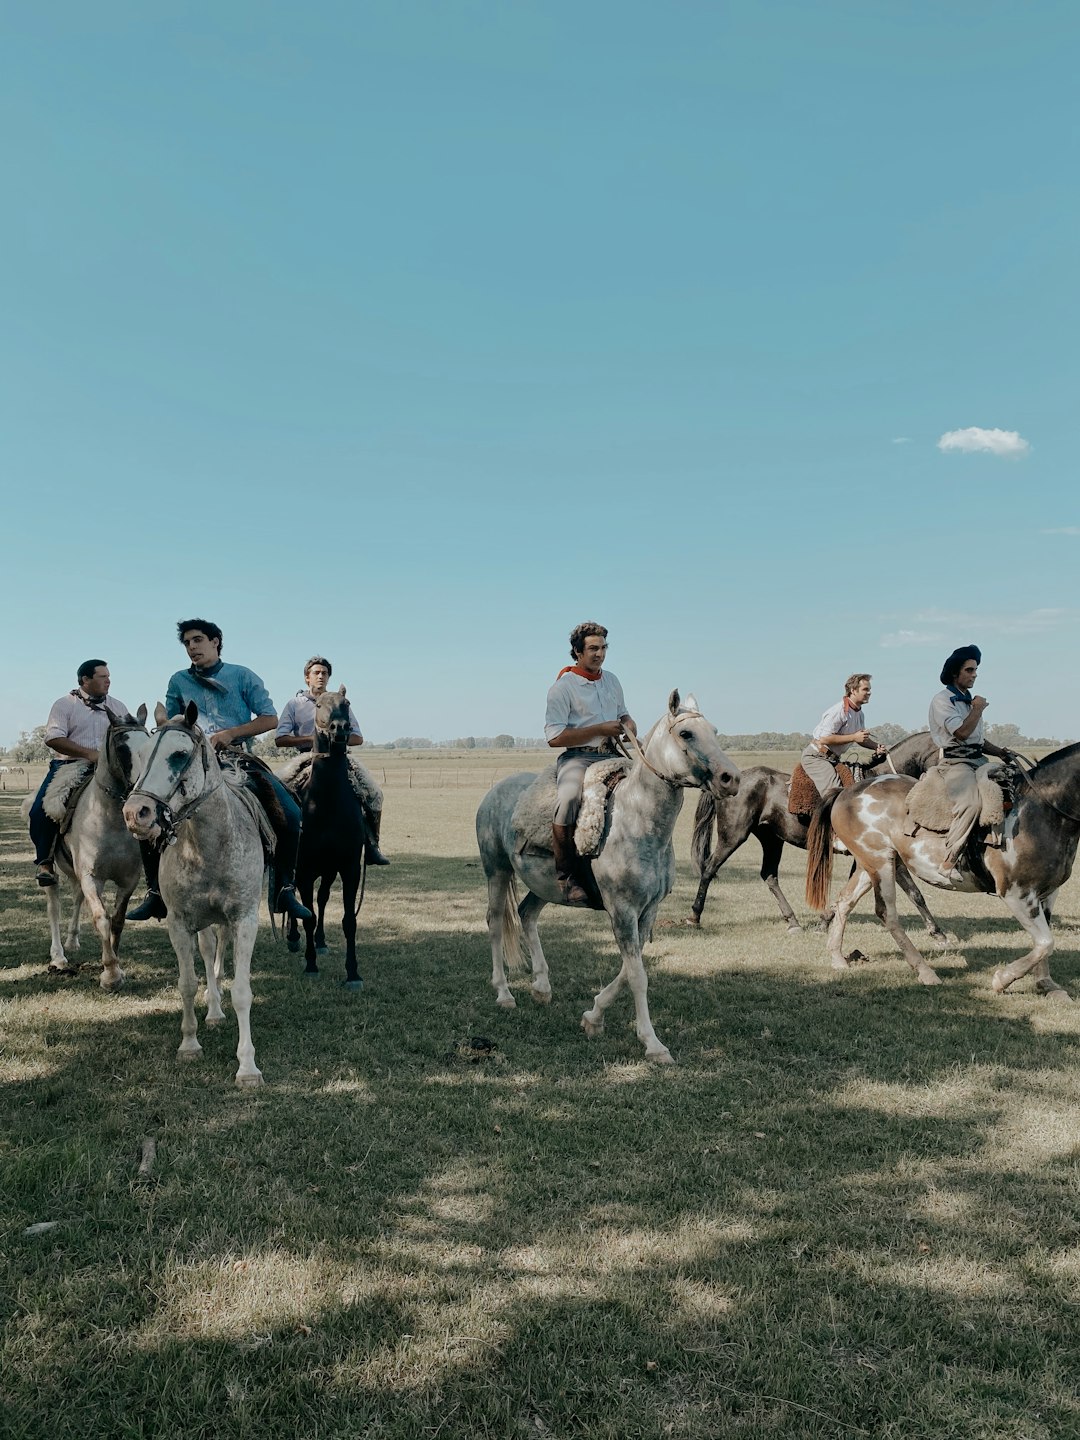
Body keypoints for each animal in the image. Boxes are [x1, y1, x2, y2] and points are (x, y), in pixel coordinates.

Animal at [29, 711, 152, 990]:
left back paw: (73, 940)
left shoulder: (128, 880)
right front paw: (110, 974)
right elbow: (102, 919)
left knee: (76, 898)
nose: (141, 800)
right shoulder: (91, 876)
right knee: (54, 904)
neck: (110, 820)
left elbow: (117, 920)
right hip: (54, 871)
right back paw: (59, 956)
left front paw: (116, 966)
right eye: (121, 747)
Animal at [124, 702, 269, 1082]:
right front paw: (189, 1044)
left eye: (179, 754)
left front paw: (247, 1066)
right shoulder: (179, 923)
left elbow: (242, 991)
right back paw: (214, 1010)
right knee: (206, 952)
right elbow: (187, 983)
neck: (207, 848)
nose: (134, 813)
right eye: (141, 755)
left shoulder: (244, 920)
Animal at [478, 691, 743, 1065]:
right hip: (497, 871)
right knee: (496, 922)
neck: (638, 822)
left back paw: (541, 987)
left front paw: (593, 1016)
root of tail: (494, 791)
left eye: (715, 731)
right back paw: (503, 994)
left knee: (527, 914)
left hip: (544, 885)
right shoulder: (622, 910)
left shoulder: (647, 911)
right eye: (686, 733)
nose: (730, 778)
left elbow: (629, 970)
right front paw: (653, 1044)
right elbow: (637, 976)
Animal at [688, 725, 944, 938]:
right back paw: (694, 916)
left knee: (769, 875)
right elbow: (912, 891)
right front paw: (937, 932)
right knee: (709, 869)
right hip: (732, 835)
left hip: (772, 839)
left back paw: (792, 922)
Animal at [806, 743, 1080, 1002]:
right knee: (887, 913)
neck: (1040, 812)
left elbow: (1044, 942)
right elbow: (1045, 943)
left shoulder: (1046, 894)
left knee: (845, 902)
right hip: (880, 862)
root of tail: (846, 792)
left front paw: (1047, 984)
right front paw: (1002, 980)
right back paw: (926, 972)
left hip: (870, 864)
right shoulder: (1016, 893)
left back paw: (838, 958)